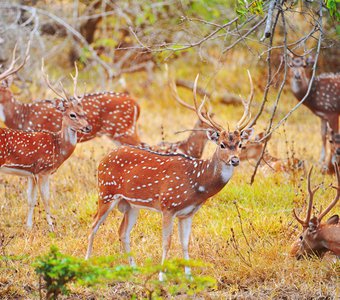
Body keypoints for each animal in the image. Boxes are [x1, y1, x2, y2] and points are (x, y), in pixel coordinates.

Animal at [0, 57, 91, 231]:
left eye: (84, 113)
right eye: (72, 114)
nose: (88, 127)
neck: (58, 147)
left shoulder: (31, 172)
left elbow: (31, 199)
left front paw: (28, 227)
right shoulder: (43, 170)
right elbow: (46, 198)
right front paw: (51, 227)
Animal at [85, 72, 255, 278]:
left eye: (240, 144)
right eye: (222, 144)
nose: (235, 160)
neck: (197, 183)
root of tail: (102, 159)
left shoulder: (188, 213)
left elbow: (185, 243)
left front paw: (188, 275)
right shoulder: (168, 205)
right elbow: (167, 242)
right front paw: (161, 276)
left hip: (131, 205)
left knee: (122, 231)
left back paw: (133, 268)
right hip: (106, 192)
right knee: (93, 225)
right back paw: (86, 262)